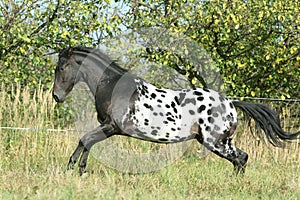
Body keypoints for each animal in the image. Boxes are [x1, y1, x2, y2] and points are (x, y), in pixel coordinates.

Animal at [52, 46, 298, 175]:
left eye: (62, 67)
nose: (56, 96)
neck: (114, 87)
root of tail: (231, 104)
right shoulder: (108, 127)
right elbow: (87, 142)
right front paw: (79, 169)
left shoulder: (112, 126)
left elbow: (85, 140)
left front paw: (72, 168)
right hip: (219, 142)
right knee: (241, 158)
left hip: (216, 142)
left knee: (241, 158)